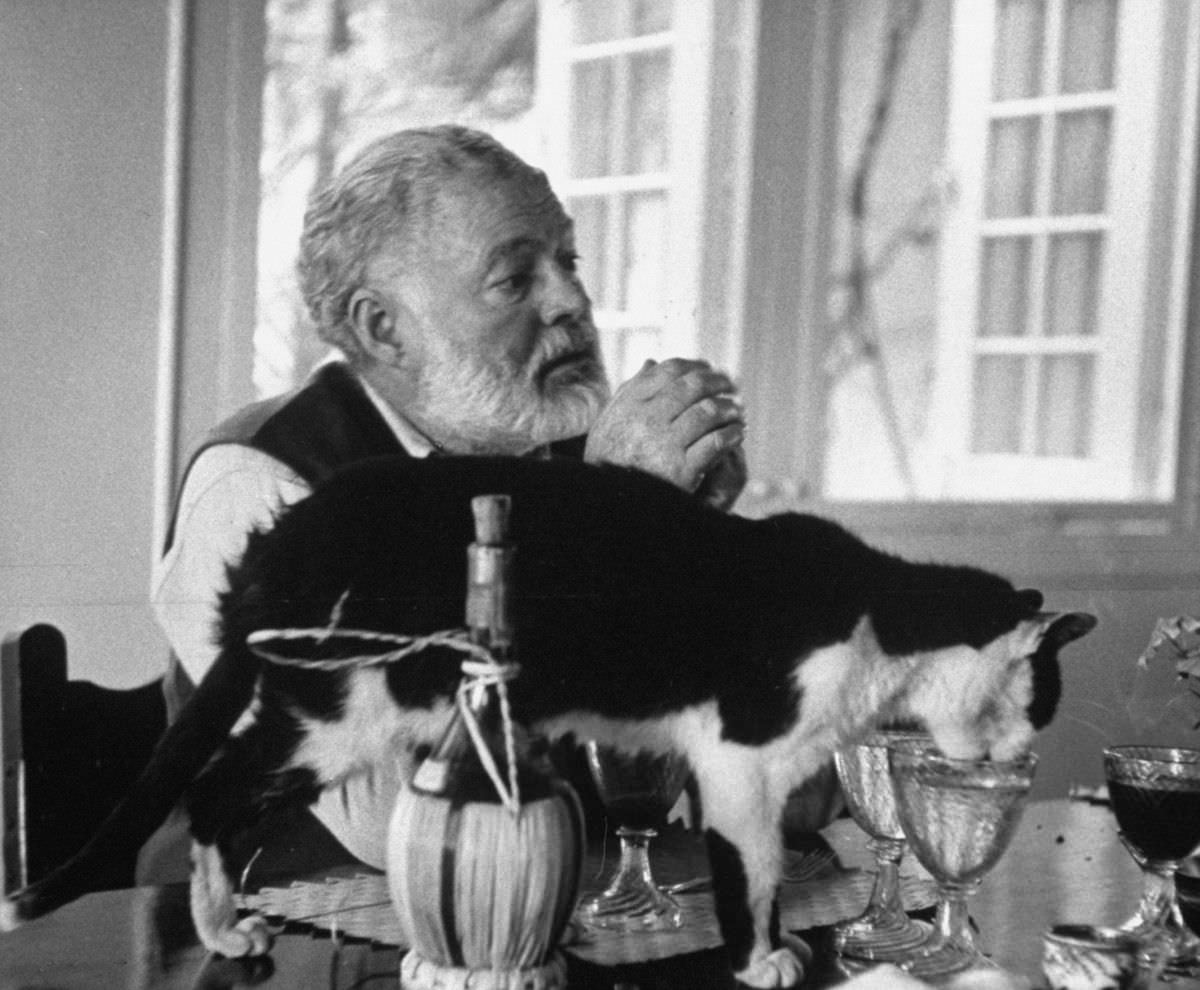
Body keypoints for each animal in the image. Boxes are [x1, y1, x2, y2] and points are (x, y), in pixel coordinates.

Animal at [2, 458, 1099, 988]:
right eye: (1040, 701)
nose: (1019, 757)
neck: (879, 618)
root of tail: (280, 540)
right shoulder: (741, 762)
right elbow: (753, 872)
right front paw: (761, 960)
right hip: (356, 707)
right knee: (212, 790)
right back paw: (225, 927)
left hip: (327, 710)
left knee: (218, 793)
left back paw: (224, 928)